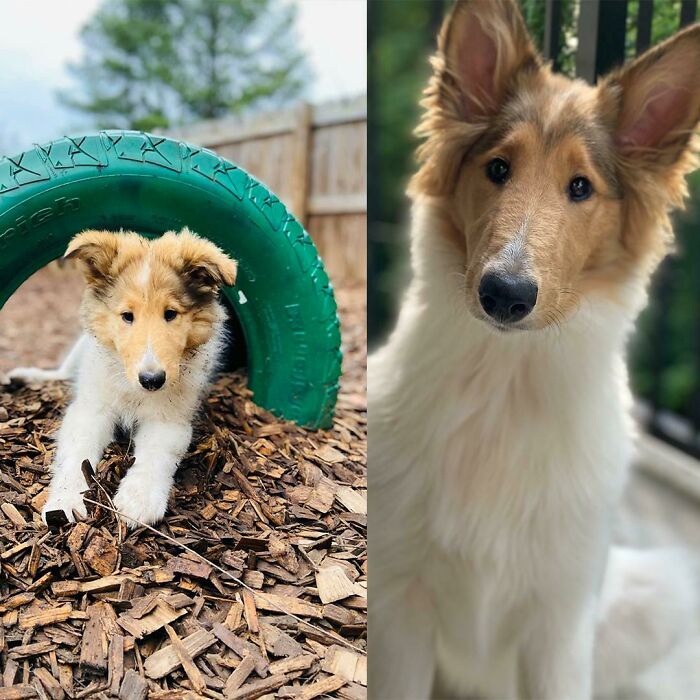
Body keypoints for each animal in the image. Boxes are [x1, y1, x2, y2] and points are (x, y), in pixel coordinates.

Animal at [8, 228, 238, 524]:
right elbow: (76, 456)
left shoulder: (168, 420)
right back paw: (27, 376)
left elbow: (155, 456)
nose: (152, 380)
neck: (133, 387)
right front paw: (64, 503)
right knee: (63, 372)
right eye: (127, 316)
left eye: (170, 314)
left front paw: (138, 500)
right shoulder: (91, 410)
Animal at [370, 2, 700, 696]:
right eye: (498, 168)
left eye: (581, 187)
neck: (505, 383)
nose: (505, 294)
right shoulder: (399, 606)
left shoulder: (560, 623)